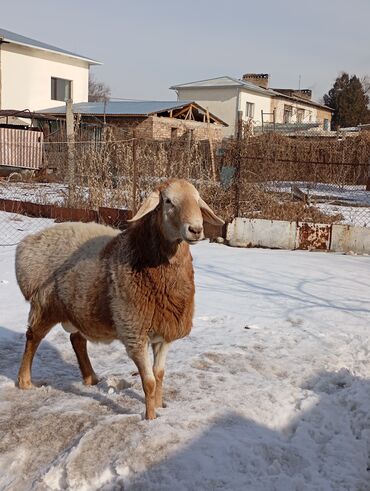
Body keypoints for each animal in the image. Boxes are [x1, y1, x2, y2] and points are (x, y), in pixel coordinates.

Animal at [15, 179, 223, 420]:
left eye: (198, 200)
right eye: (168, 201)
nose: (196, 230)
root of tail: (28, 243)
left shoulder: (164, 333)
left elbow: (159, 375)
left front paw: (160, 407)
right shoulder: (134, 332)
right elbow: (149, 382)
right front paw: (150, 418)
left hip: (79, 308)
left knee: (77, 340)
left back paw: (91, 378)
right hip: (45, 304)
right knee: (33, 337)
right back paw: (25, 381)